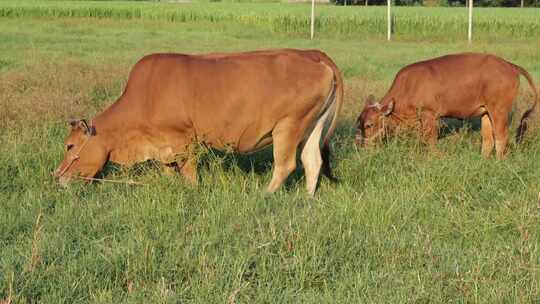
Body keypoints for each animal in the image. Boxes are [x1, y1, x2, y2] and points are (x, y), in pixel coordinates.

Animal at [52, 47, 344, 195]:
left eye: (69, 146)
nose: (57, 176)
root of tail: (312, 53)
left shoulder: (184, 140)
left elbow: (190, 174)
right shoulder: (164, 146)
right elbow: (169, 170)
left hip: (288, 125)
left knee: (286, 165)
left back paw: (265, 195)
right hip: (312, 125)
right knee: (312, 161)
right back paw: (307, 199)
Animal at [356, 52, 536, 159]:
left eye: (369, 124)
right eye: (359, 123)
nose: (361, 146)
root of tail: (508, 64)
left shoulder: (429, 115)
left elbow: (430, 141)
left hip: (499, 110)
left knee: (501, 137)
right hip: (486, 112)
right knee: (488, 139)